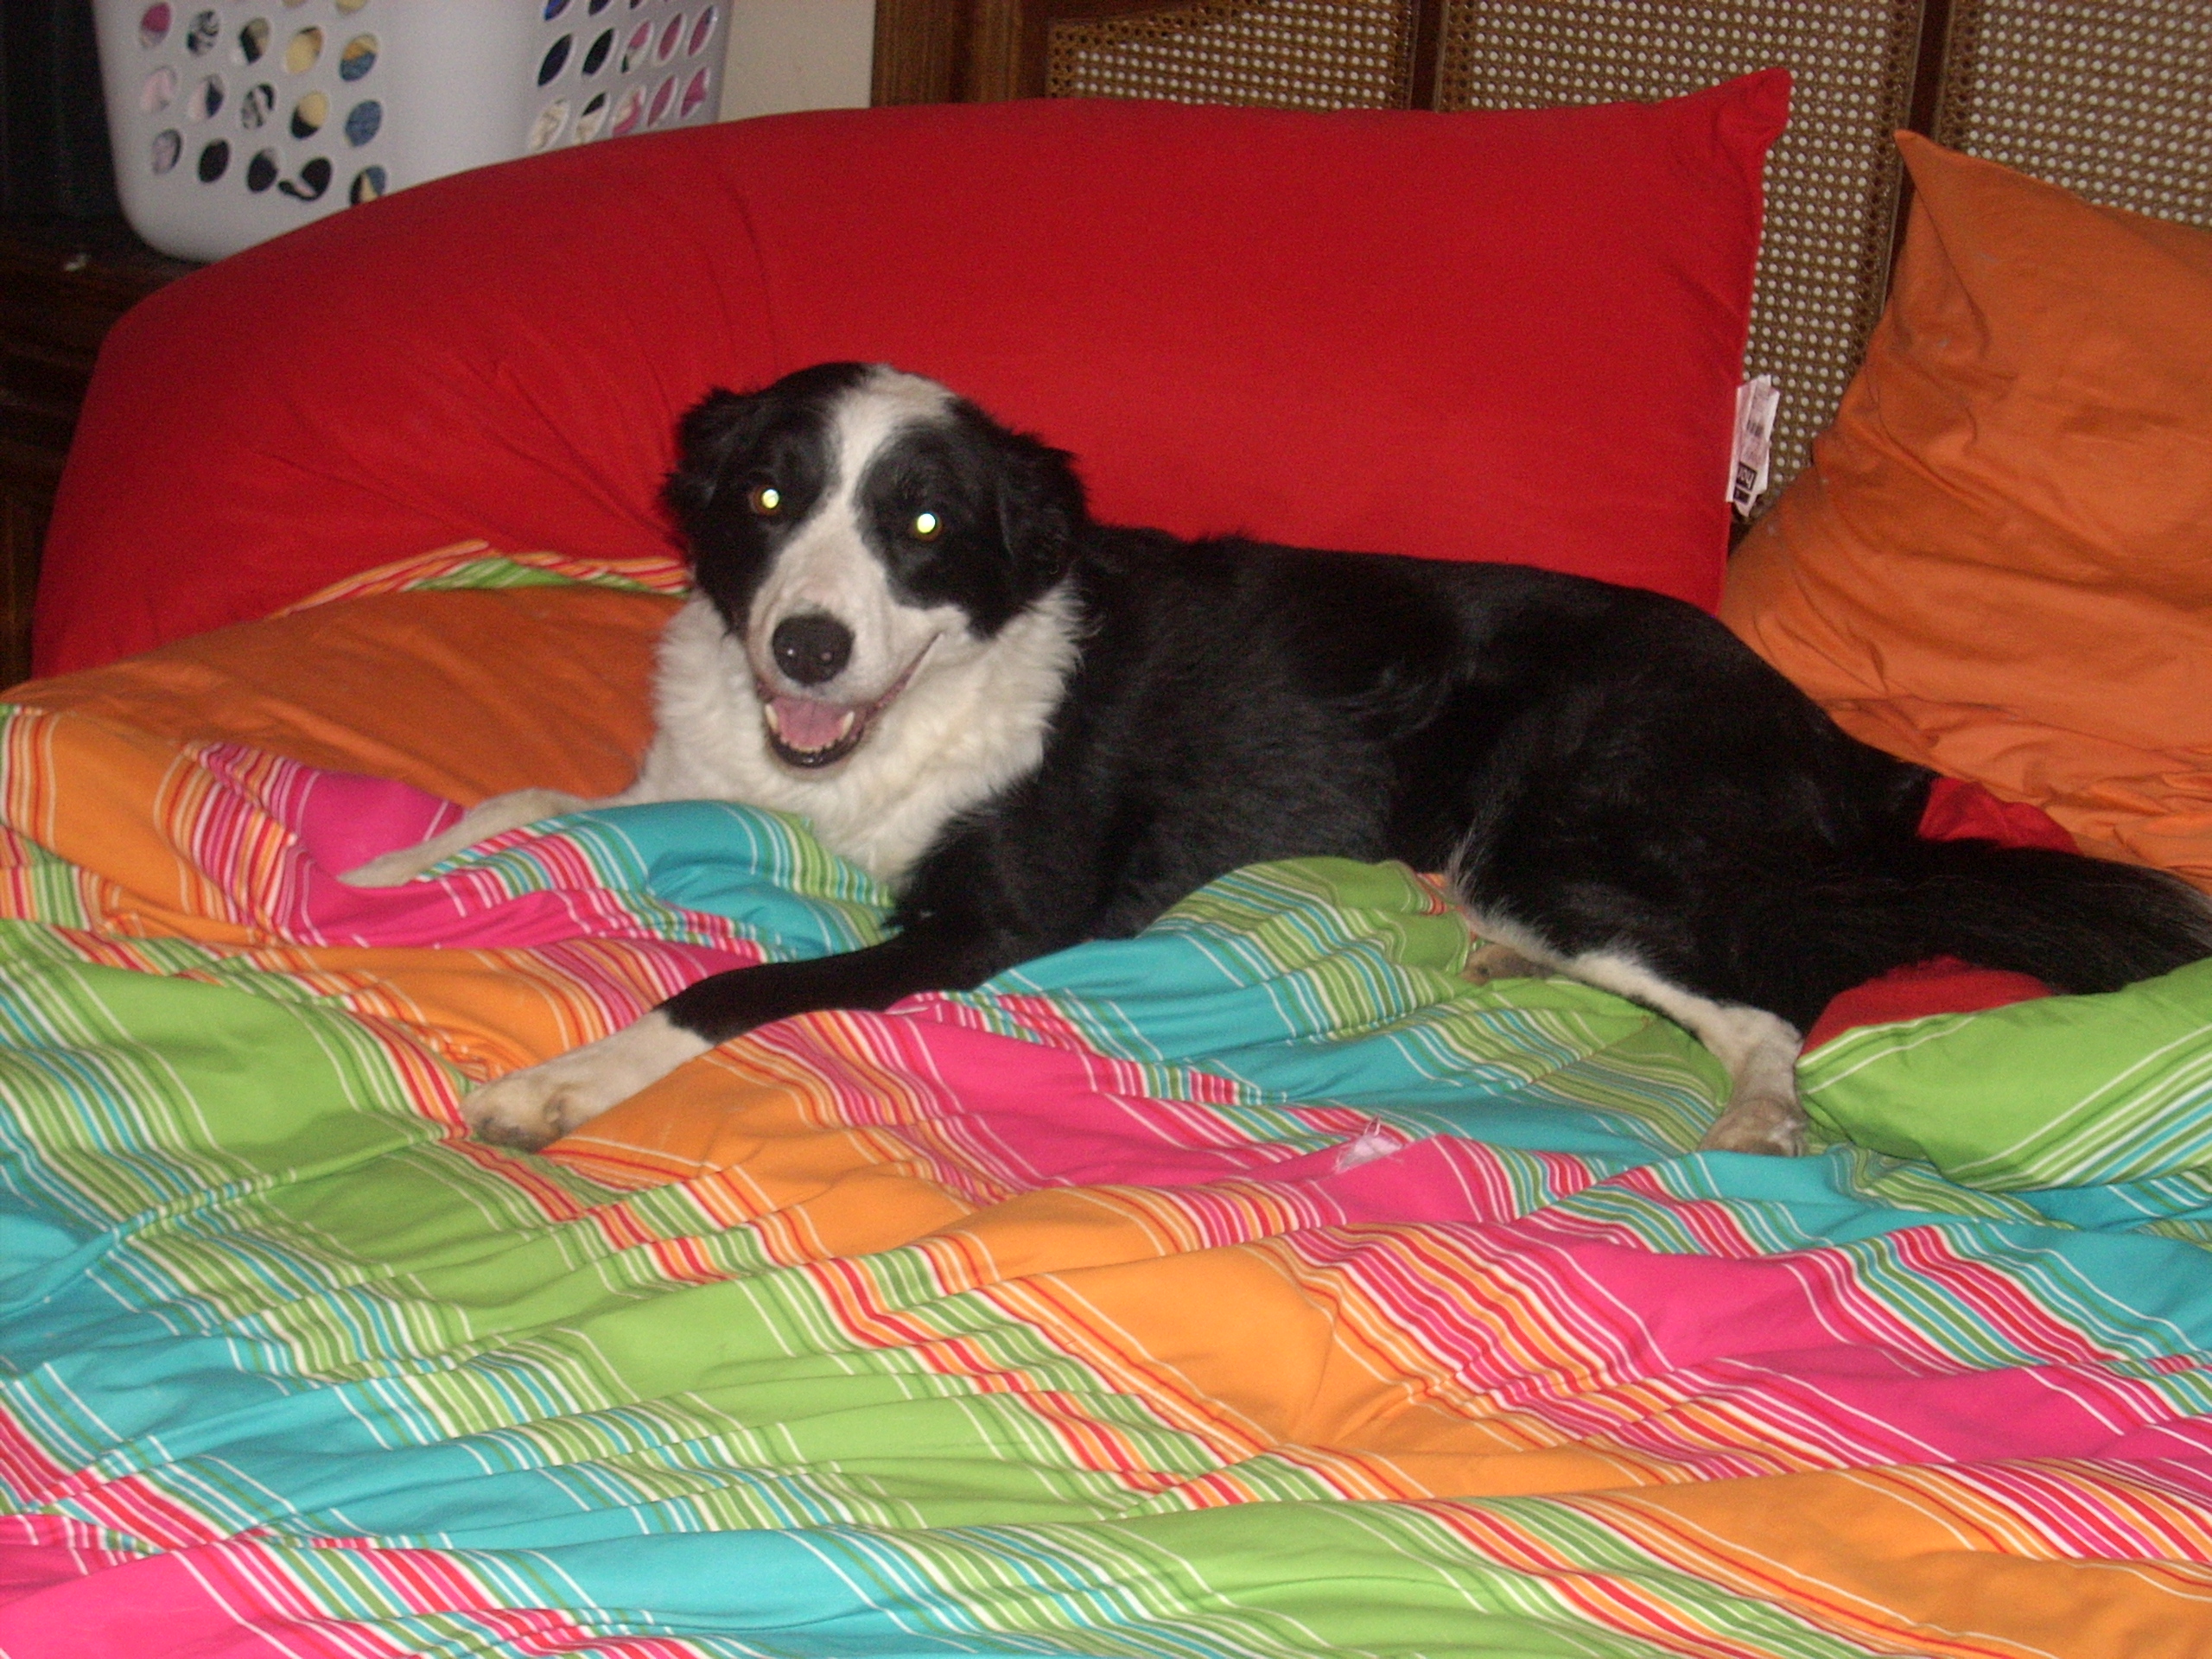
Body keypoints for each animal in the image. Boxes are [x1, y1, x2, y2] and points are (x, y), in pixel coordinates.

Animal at [344, 362, 2212, 1155]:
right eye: (765, 496)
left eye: (924, 525)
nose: (804, 645)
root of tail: (1835, 757)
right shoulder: (691, 785)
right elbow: (533, 800)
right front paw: (394, 856)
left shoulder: (984, 922)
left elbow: (724, 985)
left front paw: (564, 1082)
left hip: (1556, 837)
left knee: (1772, 992)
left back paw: (1756, 1107)